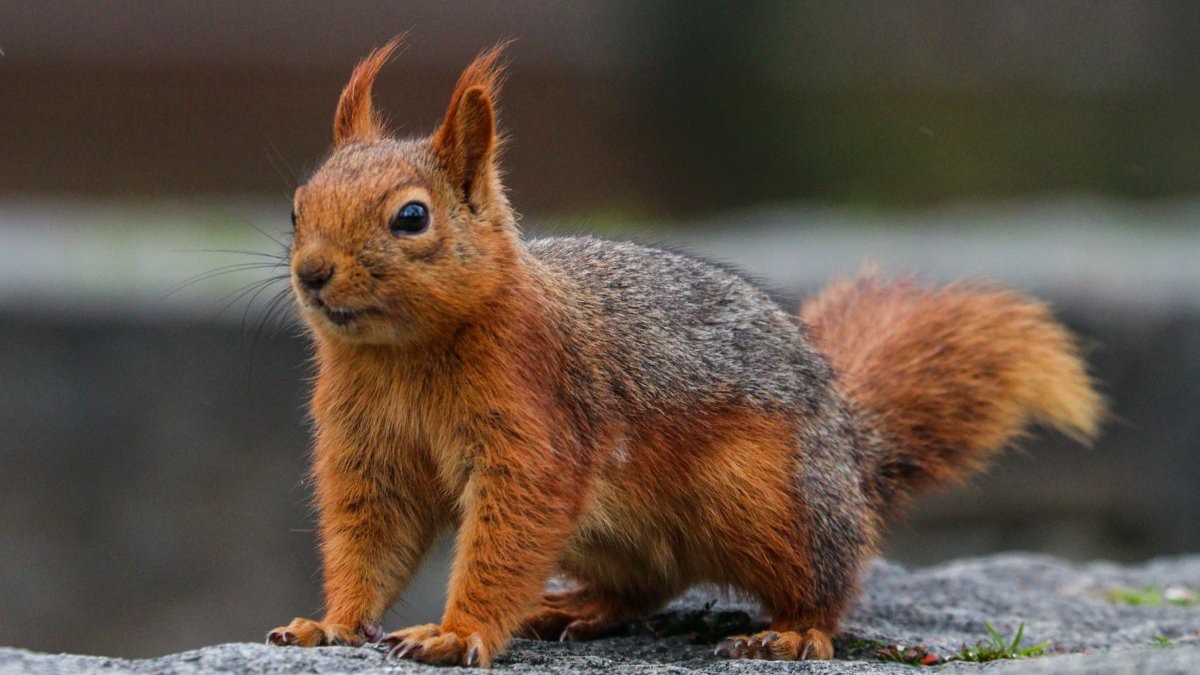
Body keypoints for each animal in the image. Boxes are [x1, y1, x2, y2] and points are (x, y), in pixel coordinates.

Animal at [266, 38, 1103, 667]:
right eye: (298, 205)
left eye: (412, 217)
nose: (312, 273)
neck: (404, 355)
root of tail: (852, 454)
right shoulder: (367, 449)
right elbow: (370, 536)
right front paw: (331, 623)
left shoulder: (536, 423)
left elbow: (507, 531)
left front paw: (455, 631)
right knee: (648, 586)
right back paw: (574, 606)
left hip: (774, 503)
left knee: (828, 583)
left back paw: (791, 631)